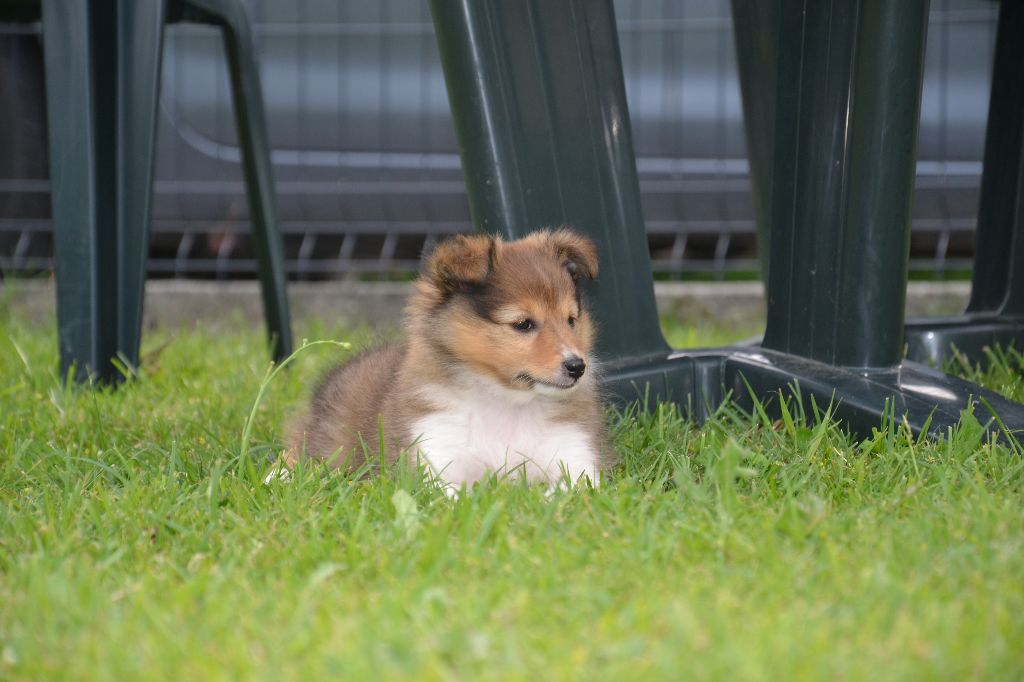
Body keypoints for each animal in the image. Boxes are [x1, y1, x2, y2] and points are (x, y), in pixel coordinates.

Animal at [284, 228, 610, 489]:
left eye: (571, 319)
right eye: (523, 324)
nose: (577, 367)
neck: (506, 402)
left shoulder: (578, 461)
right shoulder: (433, 463)